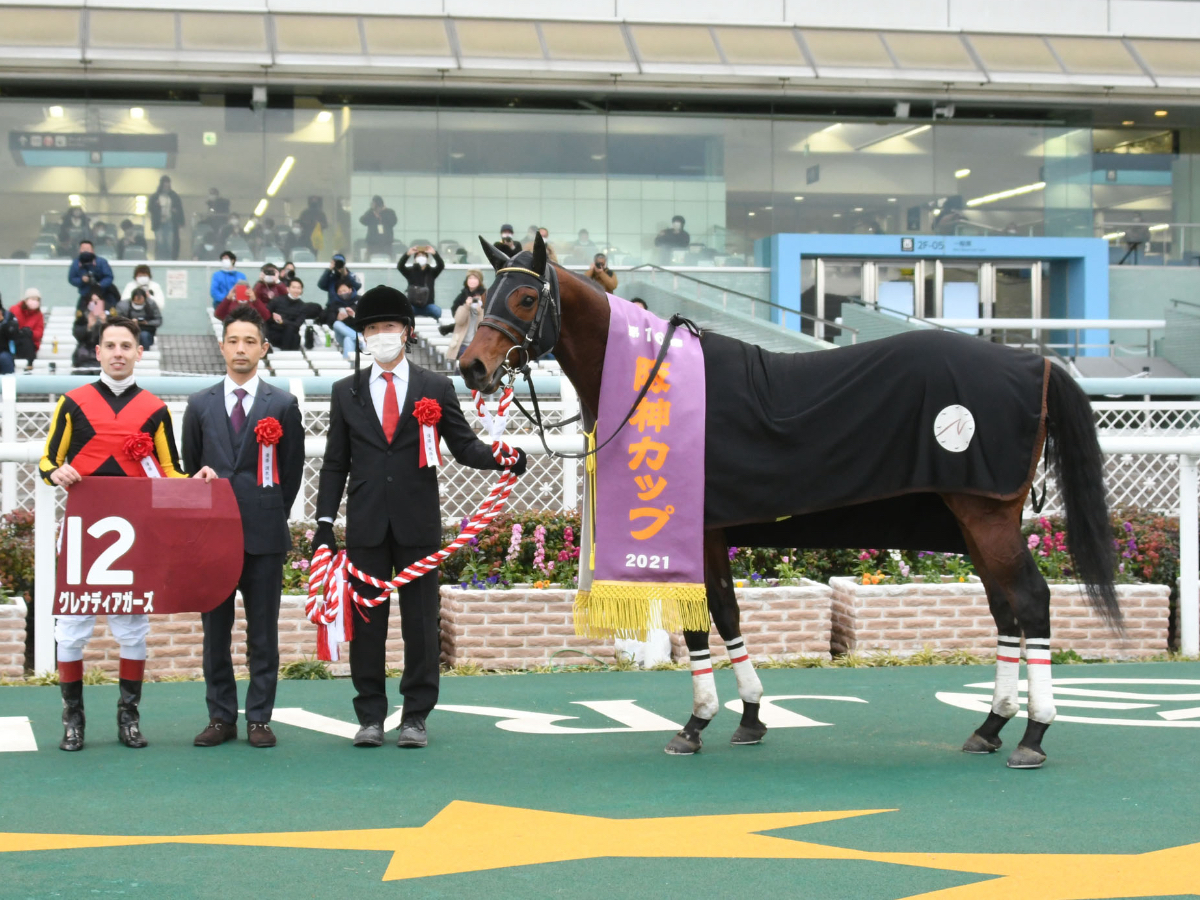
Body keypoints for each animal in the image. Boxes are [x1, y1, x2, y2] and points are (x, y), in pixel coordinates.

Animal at [458, 232, 1113, 768]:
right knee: (1005, 609)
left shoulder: (696, 530)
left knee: (1031, 601)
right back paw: (991, 725)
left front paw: (695, 724)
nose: (472, 367)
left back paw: (1033, 735)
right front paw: (748, 716)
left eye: (524, 298)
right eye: (488, 295)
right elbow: (725, 614)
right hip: (976, 520)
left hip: (986, 512)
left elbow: (699, 622)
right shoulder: (715, 532)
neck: (652, 383)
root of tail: (1037, 362)